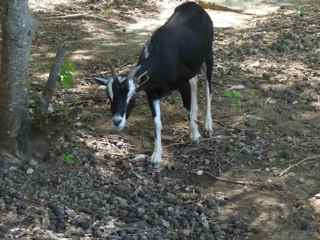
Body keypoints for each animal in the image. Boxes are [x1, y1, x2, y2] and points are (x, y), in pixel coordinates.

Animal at [96, 1, 214, 167]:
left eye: (132, 96)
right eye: (109, 96)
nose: (117, 121)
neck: (160, 58)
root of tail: (195, 6)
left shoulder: (182, 84)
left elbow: (188, 109)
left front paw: (195, 135)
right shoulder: (152, 94)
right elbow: (157, 122)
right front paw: (156, 156)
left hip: (209, 54)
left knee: (208, 87)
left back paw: (208, 125)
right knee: (195, 81)